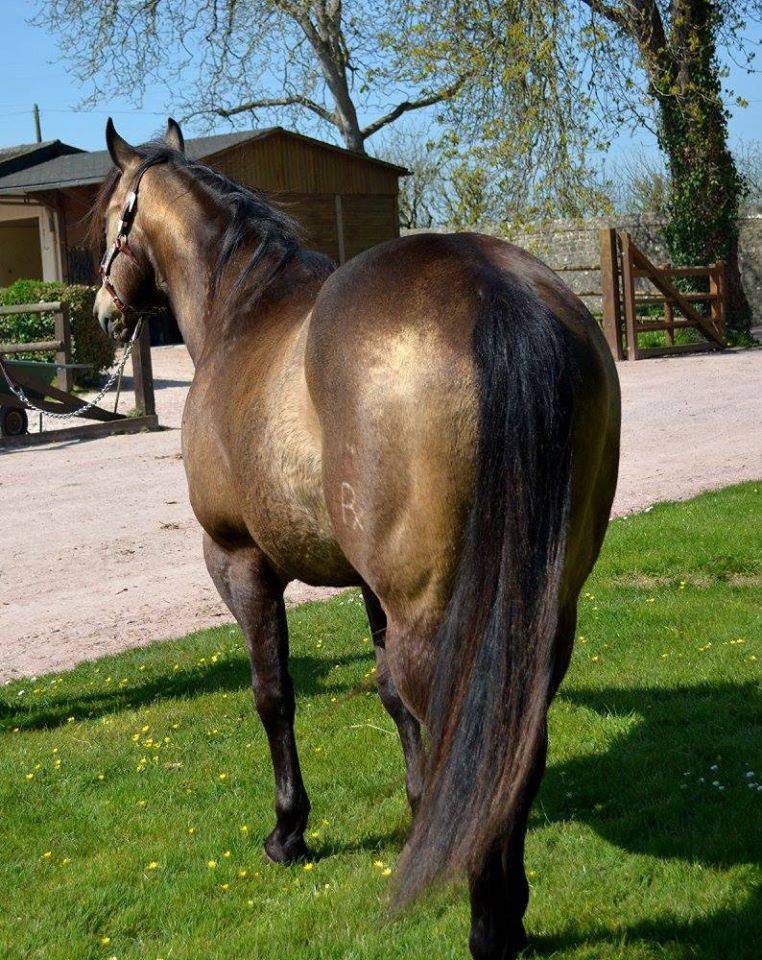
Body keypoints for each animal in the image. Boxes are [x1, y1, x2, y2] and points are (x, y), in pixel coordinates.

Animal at [92, 118, 620, 959]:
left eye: (113, 216)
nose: (104, 310)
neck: (244, 312)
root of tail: (494, 290)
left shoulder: (240, 562)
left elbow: (274, 696)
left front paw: (289, 831)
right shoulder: (372, 589)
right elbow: (390, 700)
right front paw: (418, 811)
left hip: (435, 614)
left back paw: (488, 920)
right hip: (544, 608)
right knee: (515, 735)